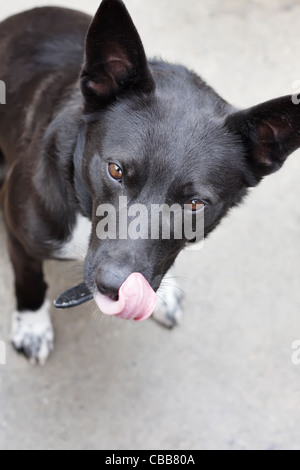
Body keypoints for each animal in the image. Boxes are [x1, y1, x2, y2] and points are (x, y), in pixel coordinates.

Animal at [0, 0, 300, 366]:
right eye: (115, 170)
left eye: (195, 204)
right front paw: (32, 326)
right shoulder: (20, 237)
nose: (113, 287)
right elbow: (29, 281)